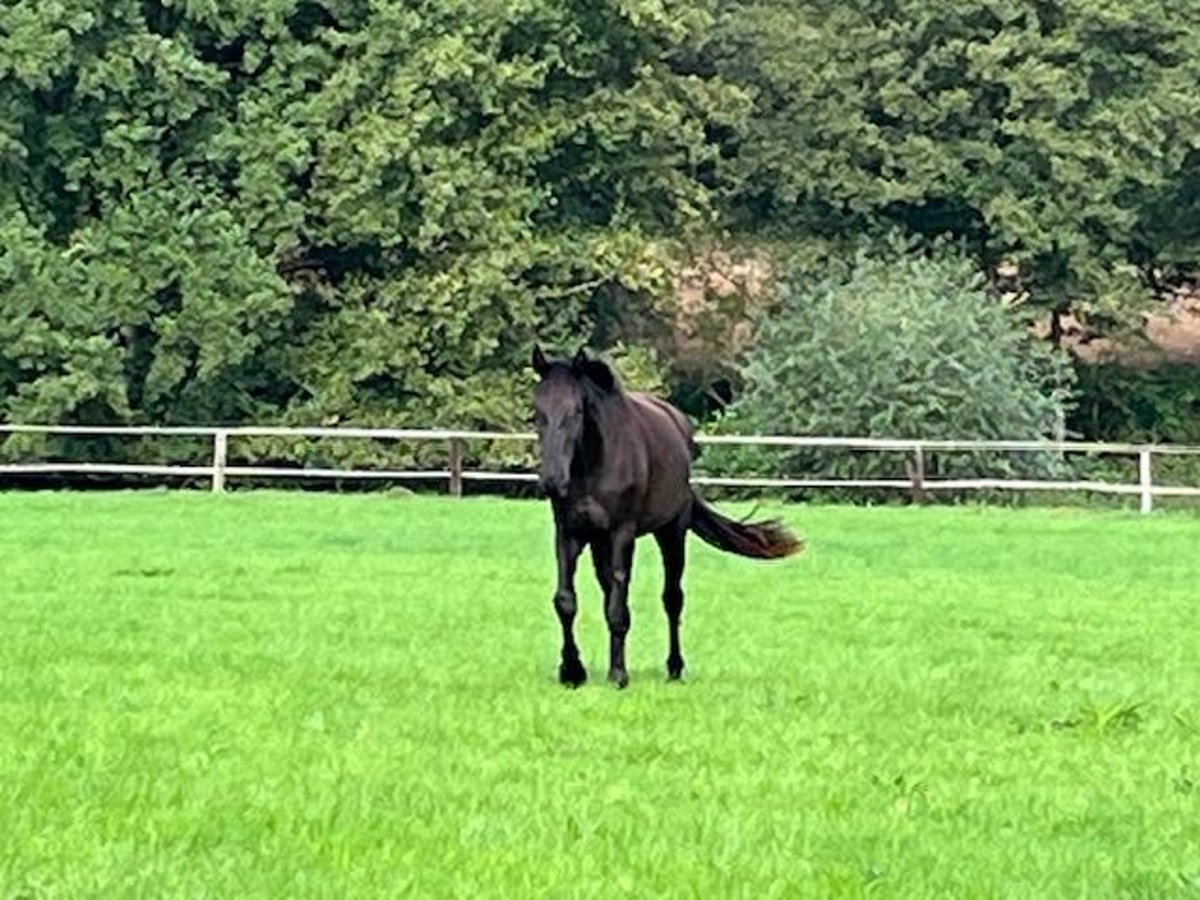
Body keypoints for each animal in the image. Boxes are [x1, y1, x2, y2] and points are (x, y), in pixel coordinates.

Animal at [532, 348, 796, 691]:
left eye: (575, 412)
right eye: (538, 411)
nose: (552, 481)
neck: (593, 465)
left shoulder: (622, 534)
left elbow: (619, 608)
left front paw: (619, 674)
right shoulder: (568, 533)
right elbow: (566, 601)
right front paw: (572, 671)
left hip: (672, 532)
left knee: (672, 598)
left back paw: (674, 667)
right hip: (600, 543)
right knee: (610, 592)